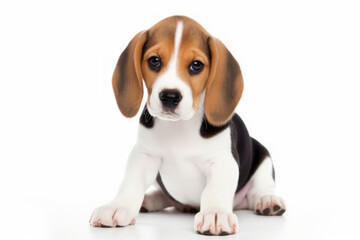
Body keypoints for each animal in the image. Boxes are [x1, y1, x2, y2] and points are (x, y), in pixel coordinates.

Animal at [90, 15, 286, 236]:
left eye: (196, 65)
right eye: (154, 61)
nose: (170, 96)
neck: (179, 126)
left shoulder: (222, 161)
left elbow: (215, 189)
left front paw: (215, 213)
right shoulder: (143, 156)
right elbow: (130, 182)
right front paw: (117, 207)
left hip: (263, 156)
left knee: (258, 190)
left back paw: (268, 201)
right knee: (166, 197)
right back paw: (148, 200)